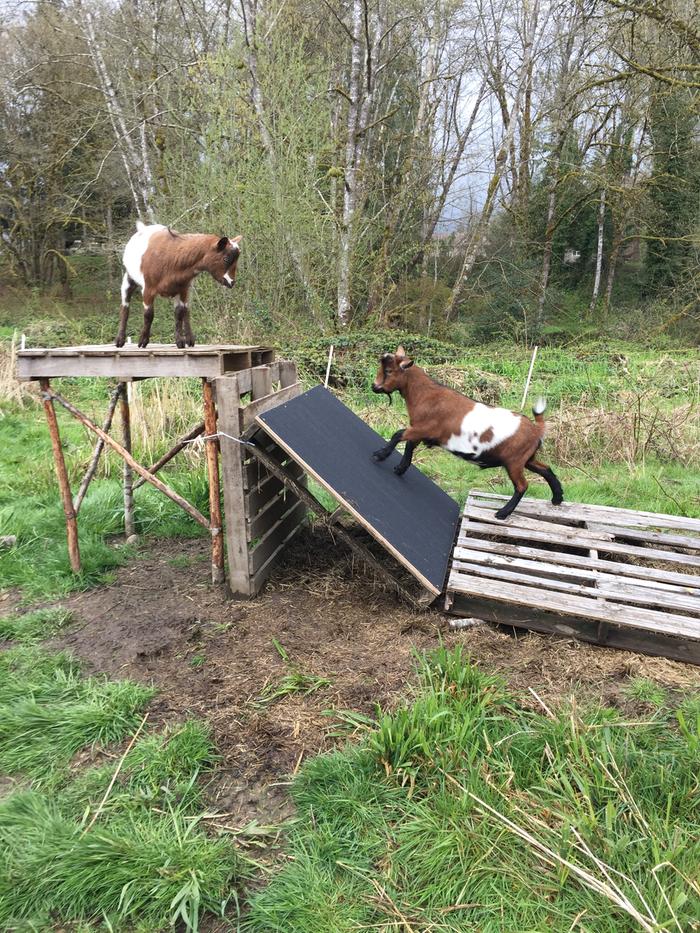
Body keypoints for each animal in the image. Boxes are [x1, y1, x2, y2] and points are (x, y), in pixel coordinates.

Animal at [116, 222, 242, 350]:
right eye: (225, 259)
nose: (232, 282)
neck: (172, 257)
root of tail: (143, 228)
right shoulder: (148, 289)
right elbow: (148, 314)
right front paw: (143, 341)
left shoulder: (182, 289)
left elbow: (179, 313)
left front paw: (180, 342)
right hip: (128, 279)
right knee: (125, 307)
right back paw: (120, 340)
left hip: (187, 290)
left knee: (187, 309)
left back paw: (190, 340)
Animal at [372, 348, 564, 520]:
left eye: (388, 371)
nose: (374, 386)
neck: (425, 395)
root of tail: (536, 429)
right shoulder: (419, 432)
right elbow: (409, 446)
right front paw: (399, 469)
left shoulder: (422, 428)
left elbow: (398, 435)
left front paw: (380, 455)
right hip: (526, 458)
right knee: (546, 469)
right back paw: (557, 498)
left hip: (515, 461)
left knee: (522, 485)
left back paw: (502, 513)